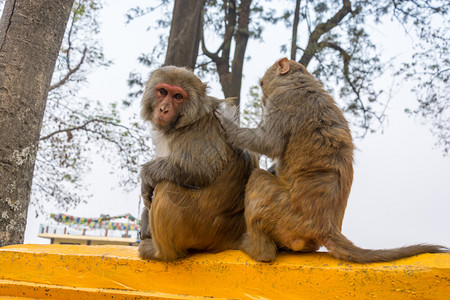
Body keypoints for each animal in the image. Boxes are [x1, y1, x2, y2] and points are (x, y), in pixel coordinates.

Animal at [137, 65, 256, 260]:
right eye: (163, 91)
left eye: (178, 96)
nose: (163, 109)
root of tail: (233, 234)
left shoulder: (199, 131)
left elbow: (198, 170)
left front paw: (146, 176)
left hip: (201, 229)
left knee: (167, 186)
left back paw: (160, 252)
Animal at [217, 56, 446, 262]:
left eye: (262, 85)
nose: (263, 100)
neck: (300, 81)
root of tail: (327, 227)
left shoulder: (284, 102)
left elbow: (268, 143)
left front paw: (227, 123)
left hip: (284, 212)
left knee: (259, 180)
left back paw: (259, 251)